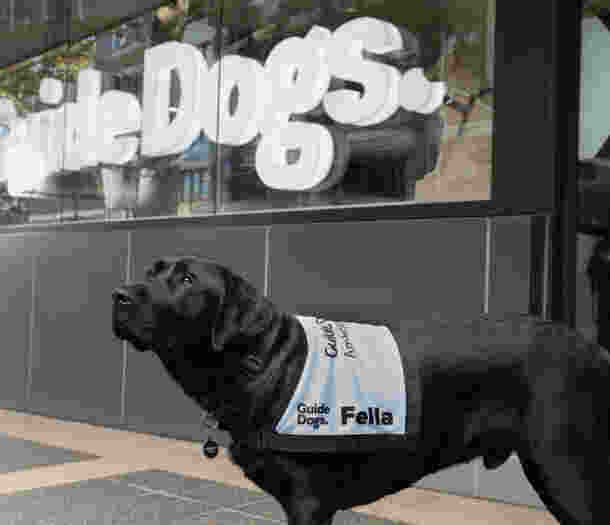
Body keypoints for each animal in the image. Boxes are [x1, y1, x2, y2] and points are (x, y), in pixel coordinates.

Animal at [113, 256, 604, 520]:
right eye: (151, 271)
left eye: (187, 280)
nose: (118, 295)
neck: (262, 361)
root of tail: (594, 349)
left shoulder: (308, 502)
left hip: (565, 469)